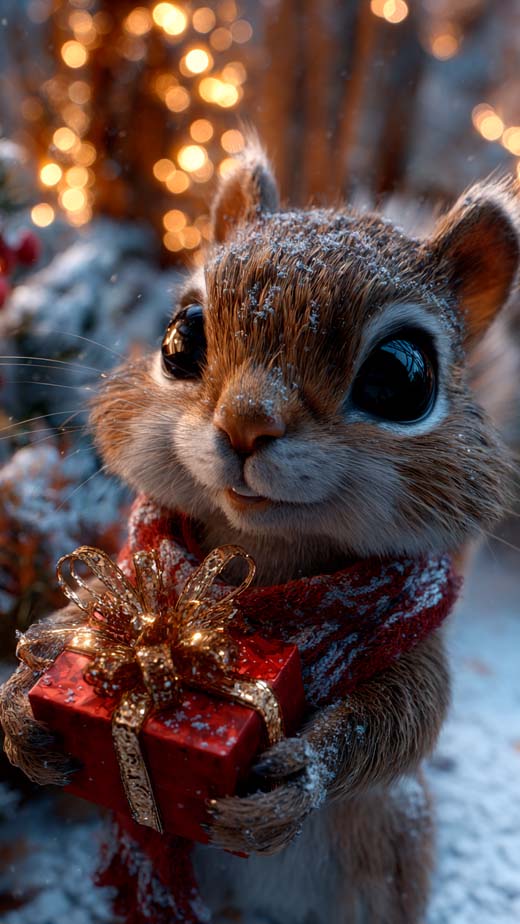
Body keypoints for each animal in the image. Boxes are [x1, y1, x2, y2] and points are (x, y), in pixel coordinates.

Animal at [2, 138, 520, 924]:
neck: (254, 563)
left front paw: (301, 775)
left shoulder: (417, 641)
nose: (246, 422)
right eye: (181, 336)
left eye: (401, 375)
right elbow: (67, 626)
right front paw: (23, 695)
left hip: (393, 840)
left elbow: (410, 714)